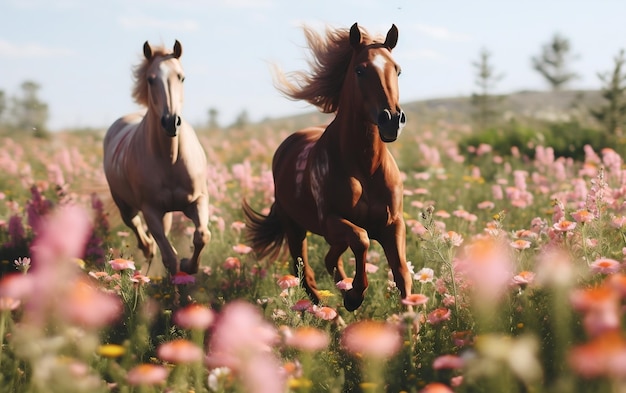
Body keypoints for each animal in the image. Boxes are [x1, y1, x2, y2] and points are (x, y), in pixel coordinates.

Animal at [102, 40, 208, 276]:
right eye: (151, 79)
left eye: (181, 77)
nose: (171, 122)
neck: (170, 158)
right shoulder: (150, 210)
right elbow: (170, 258)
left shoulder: (198, 199)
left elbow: (202, 236)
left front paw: (190, 266)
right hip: (126, 207)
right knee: (140, 233)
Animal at [243, 23, 410, 310]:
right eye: (360, 70)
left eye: (397, 69)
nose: (391, 120)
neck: (365, 167)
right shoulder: (331, 219)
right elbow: (361, 239)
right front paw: (354, 296)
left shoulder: (392, 224)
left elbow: (402, 275)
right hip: (294, 227)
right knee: (306, 273)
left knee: (331, 258)